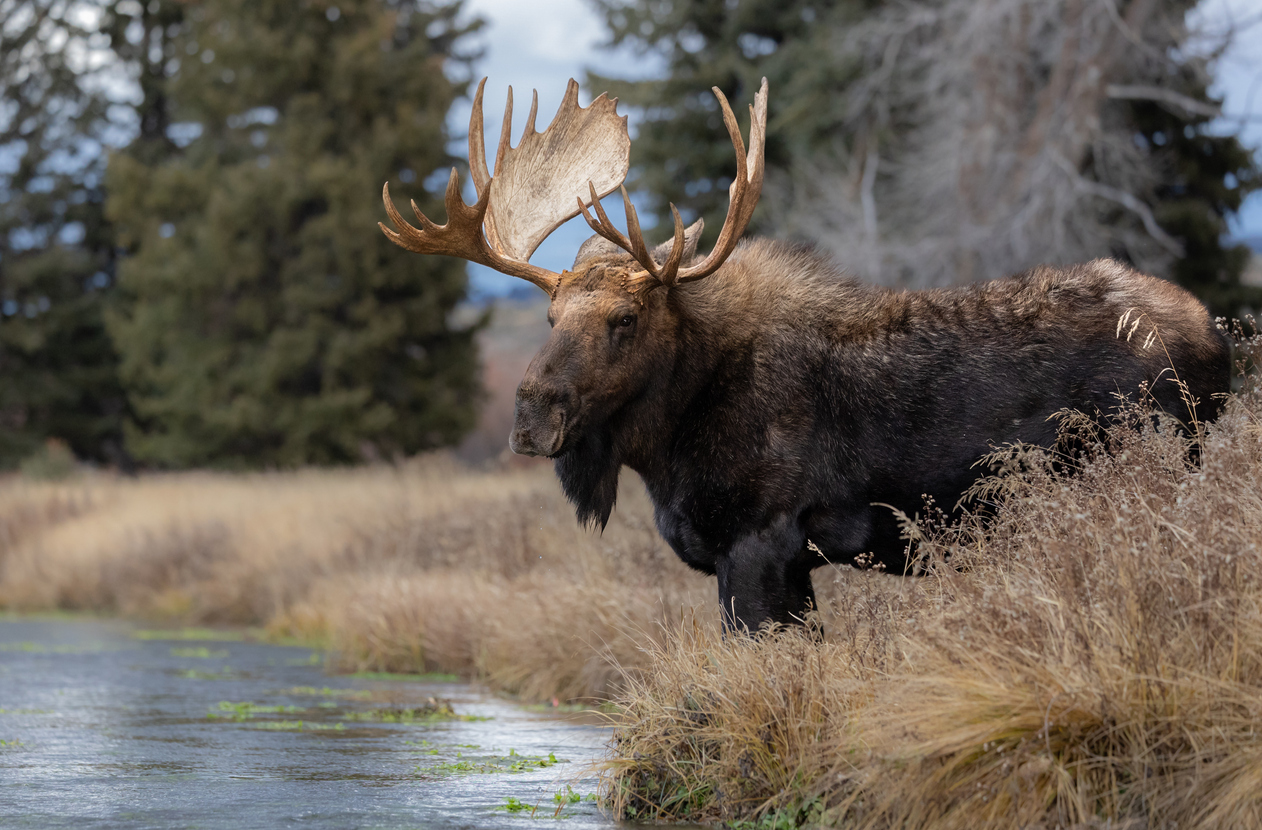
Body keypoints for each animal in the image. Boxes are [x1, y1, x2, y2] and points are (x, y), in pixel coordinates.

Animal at [381, 80, 1231, 630]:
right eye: (551, 313)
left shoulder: (765, 544)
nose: (530, 418)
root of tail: (1214, 340)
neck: (666, 445)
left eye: (624, 318)